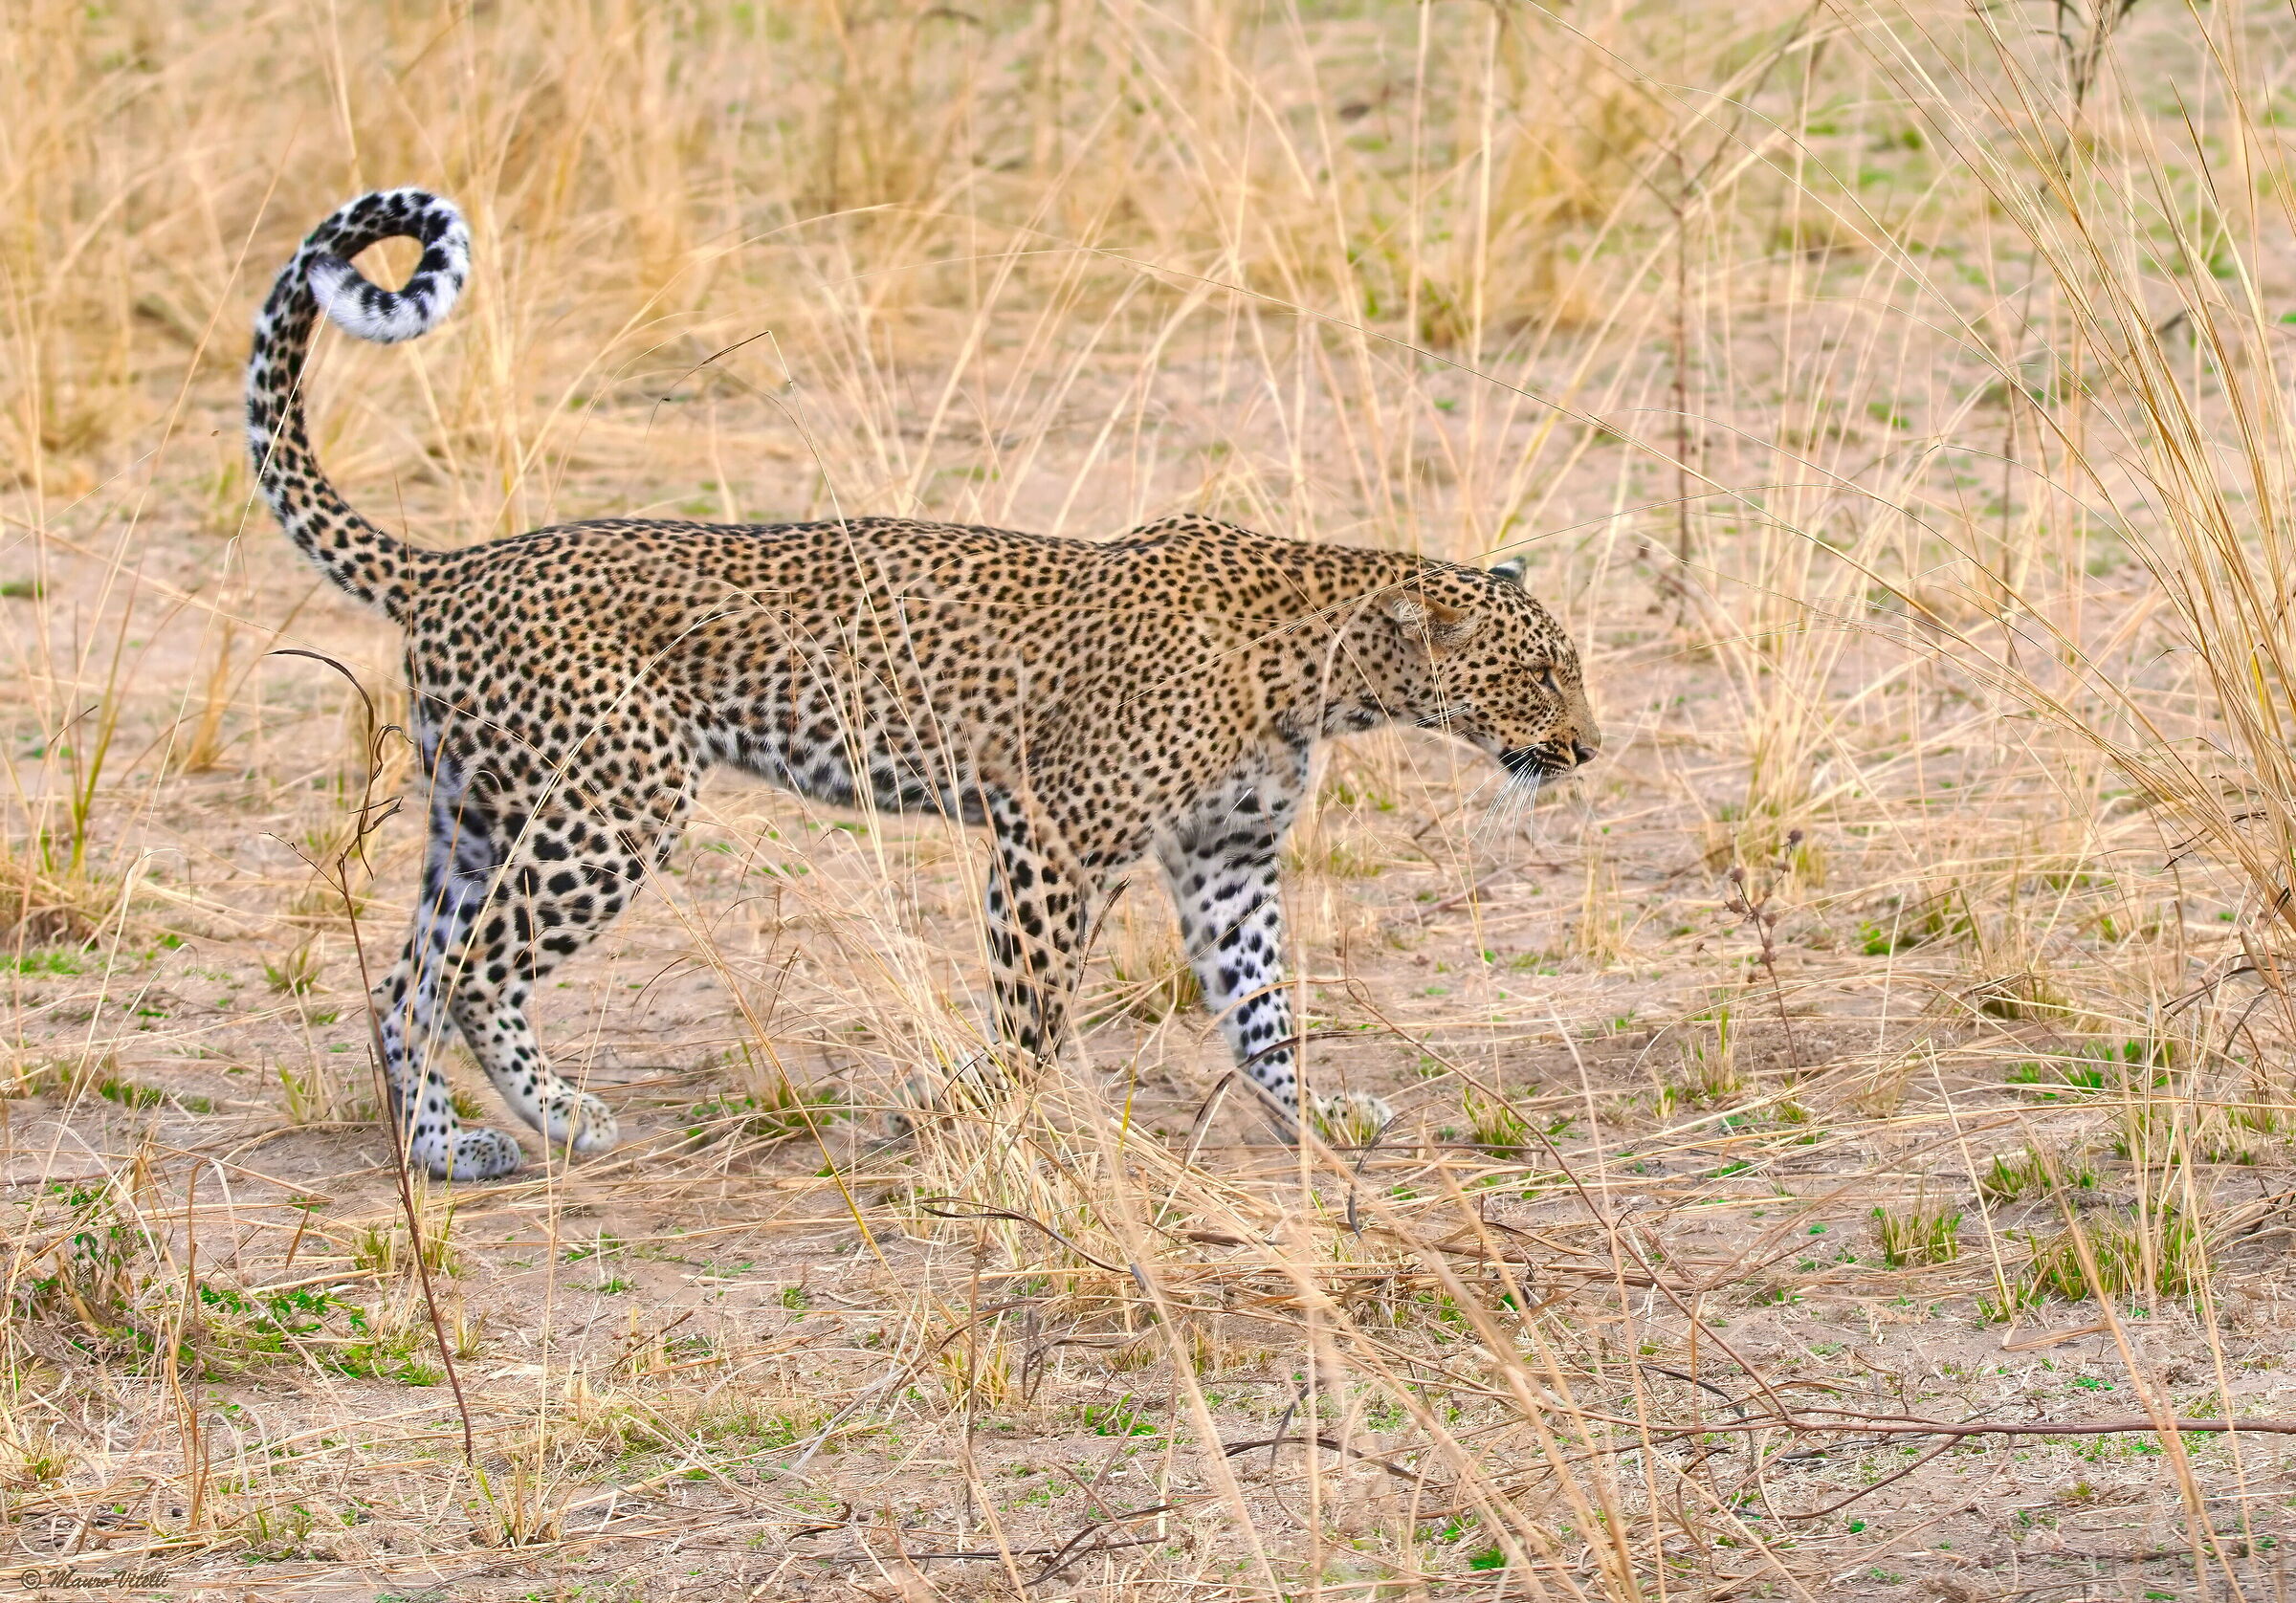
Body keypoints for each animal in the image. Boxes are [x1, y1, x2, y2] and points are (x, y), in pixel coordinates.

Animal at [245, 188, 1602, 1180]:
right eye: (1541, 672)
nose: (1591, 750)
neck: (1321, 677)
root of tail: (452, 563)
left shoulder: (1229, 861)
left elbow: (1262, 1009)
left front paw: (1316, 1117)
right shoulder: (1053, 834)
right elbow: (1033, 1007)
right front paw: (979, 1115)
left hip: (480, 813)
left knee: (404, 984)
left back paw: (446, 1151)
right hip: (611, 807)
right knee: (476, 974)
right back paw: (564, 1118)